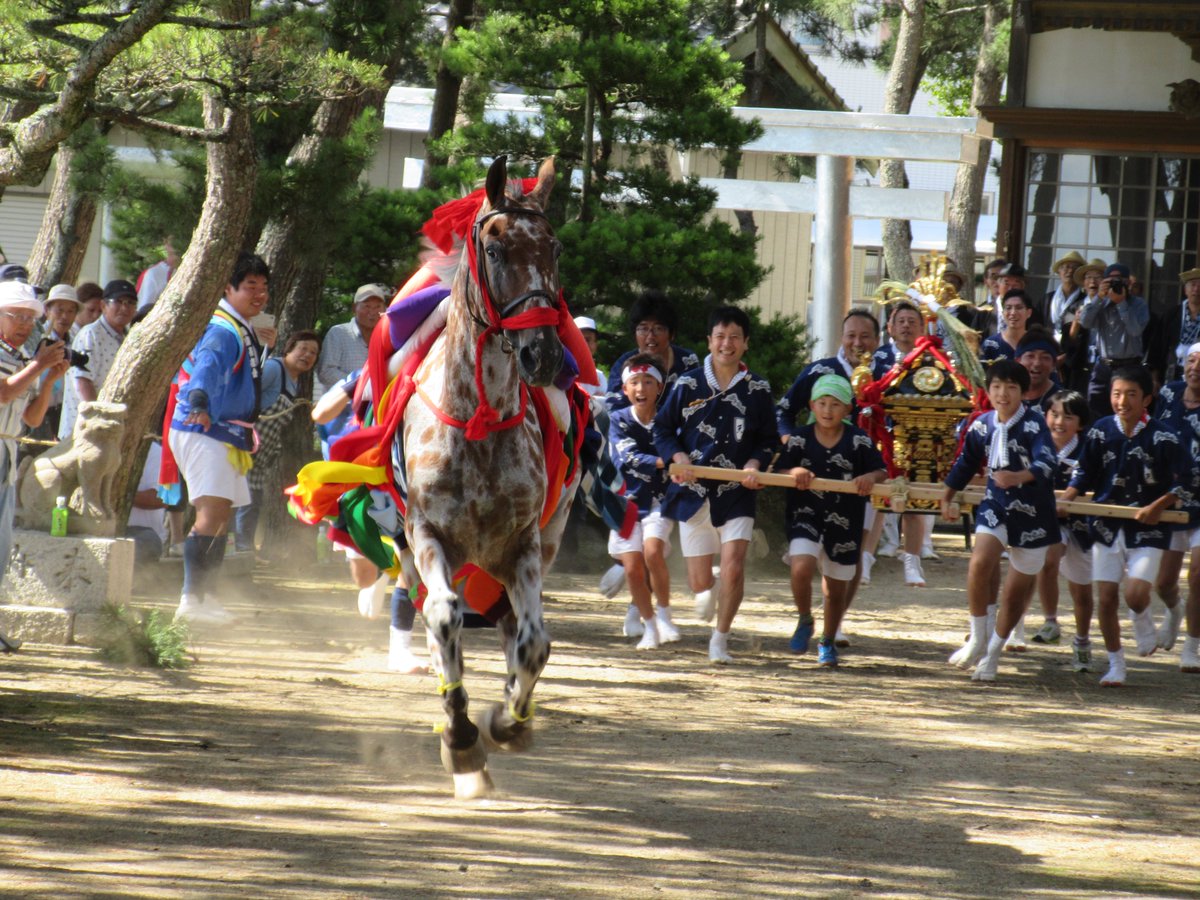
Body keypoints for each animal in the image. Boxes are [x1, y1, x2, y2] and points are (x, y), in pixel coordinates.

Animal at [402, 155, 575, 798]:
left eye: (553, 248)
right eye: (495, 250)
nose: (541, 354)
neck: (478, 421)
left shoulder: (522, 545)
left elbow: (535, 643)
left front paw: (509, 720)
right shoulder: (426, 534)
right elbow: (444, 616)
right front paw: (461, 739)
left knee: (512, 631)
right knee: (435, 616)